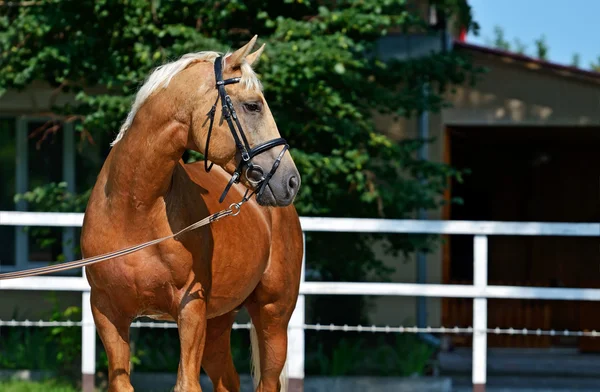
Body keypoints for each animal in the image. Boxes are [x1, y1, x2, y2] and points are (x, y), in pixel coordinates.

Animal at [79, 35, 302, 390]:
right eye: (252, 105)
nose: (290, 180)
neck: (133, 208)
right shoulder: (107, 312)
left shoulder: (191, 310)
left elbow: (187, 383)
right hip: (219, 322)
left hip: (273, 316)